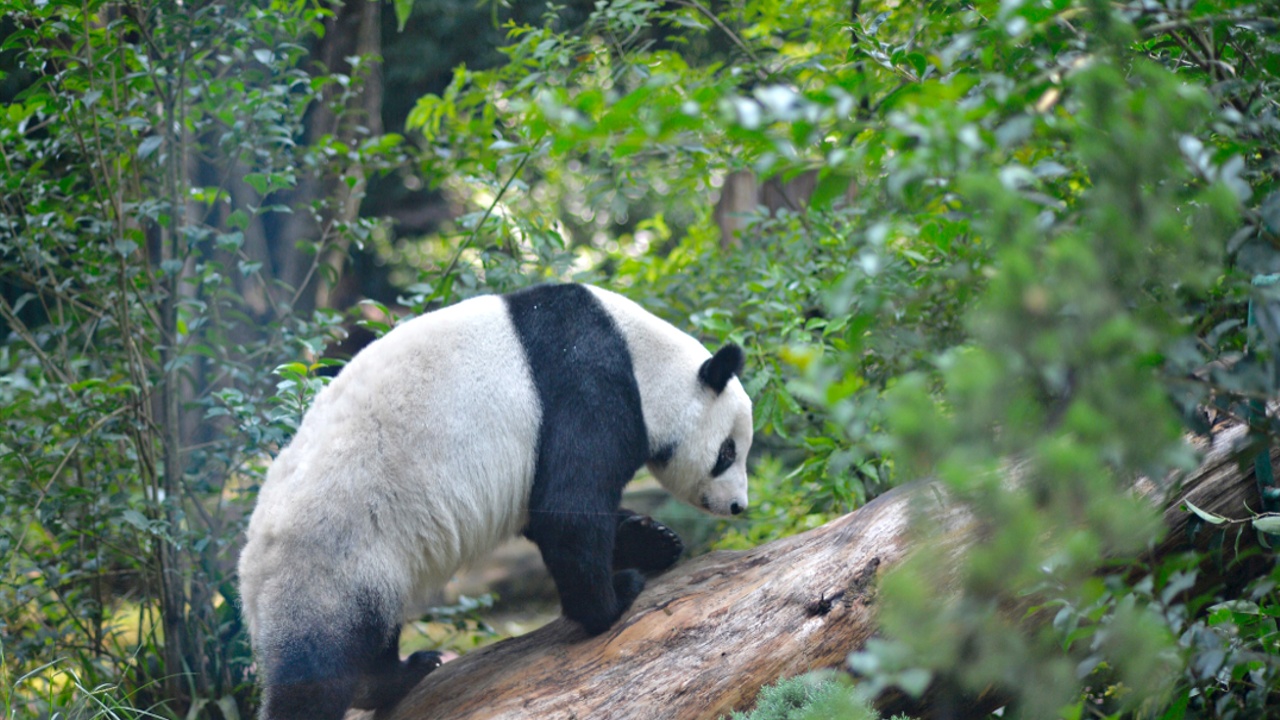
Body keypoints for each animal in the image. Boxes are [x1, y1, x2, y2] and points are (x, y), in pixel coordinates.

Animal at [236, 281, 752, 717]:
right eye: (727, 451)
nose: (738, 506)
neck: (639, 354)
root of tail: (248, 577)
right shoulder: (587, 383)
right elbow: (566, 508)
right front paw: (612, 600)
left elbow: (544, 512)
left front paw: (654, 539)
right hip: (330, 559)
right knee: (318, 674)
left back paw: (404, 673)